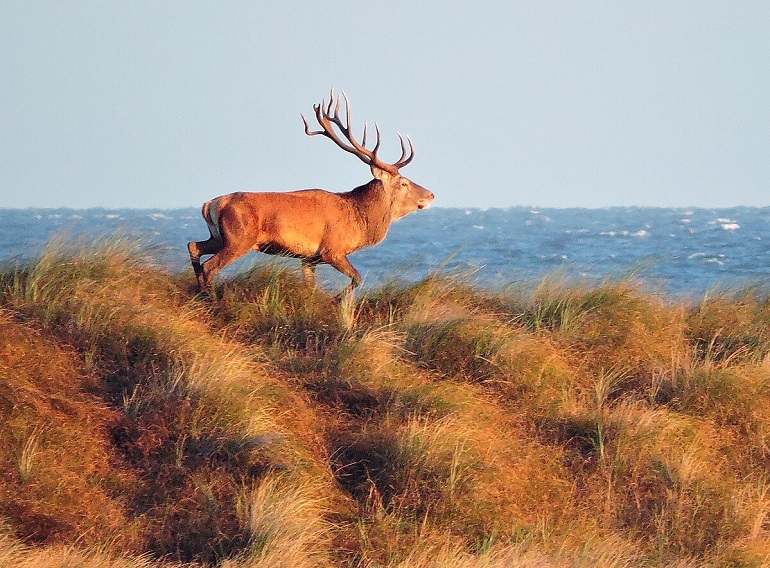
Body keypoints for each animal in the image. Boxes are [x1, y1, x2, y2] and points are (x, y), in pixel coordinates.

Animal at [188, 90, 434, 297]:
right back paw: (212, 299)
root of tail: (210, 205)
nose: (431, 194)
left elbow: (311, 287)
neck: (359, 220)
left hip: (220, 236)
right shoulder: (332, 250)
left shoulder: (309, 259)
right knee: (210, 265)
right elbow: (356, 278)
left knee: (194, 246)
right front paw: (336, 300)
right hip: (239, 238)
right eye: (404, 183)